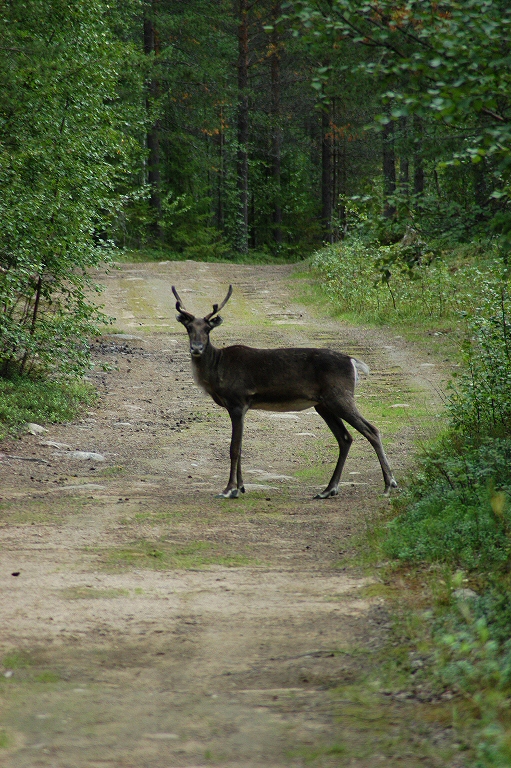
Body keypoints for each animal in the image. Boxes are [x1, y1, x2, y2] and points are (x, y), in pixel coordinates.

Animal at [172, 284, 397, 500]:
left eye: (208, 329)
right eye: (189, 328)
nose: (197, 348)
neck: (217, 369)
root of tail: (353, 362)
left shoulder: (237, 401)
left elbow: (234, 448)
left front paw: (229, 489)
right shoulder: (241, 406)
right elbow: (241, 447)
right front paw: (241, 488)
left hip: (340, 396)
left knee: (371, 430)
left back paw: (389, 485)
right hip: (323, 404)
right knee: (345, 437)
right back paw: (328, 490)